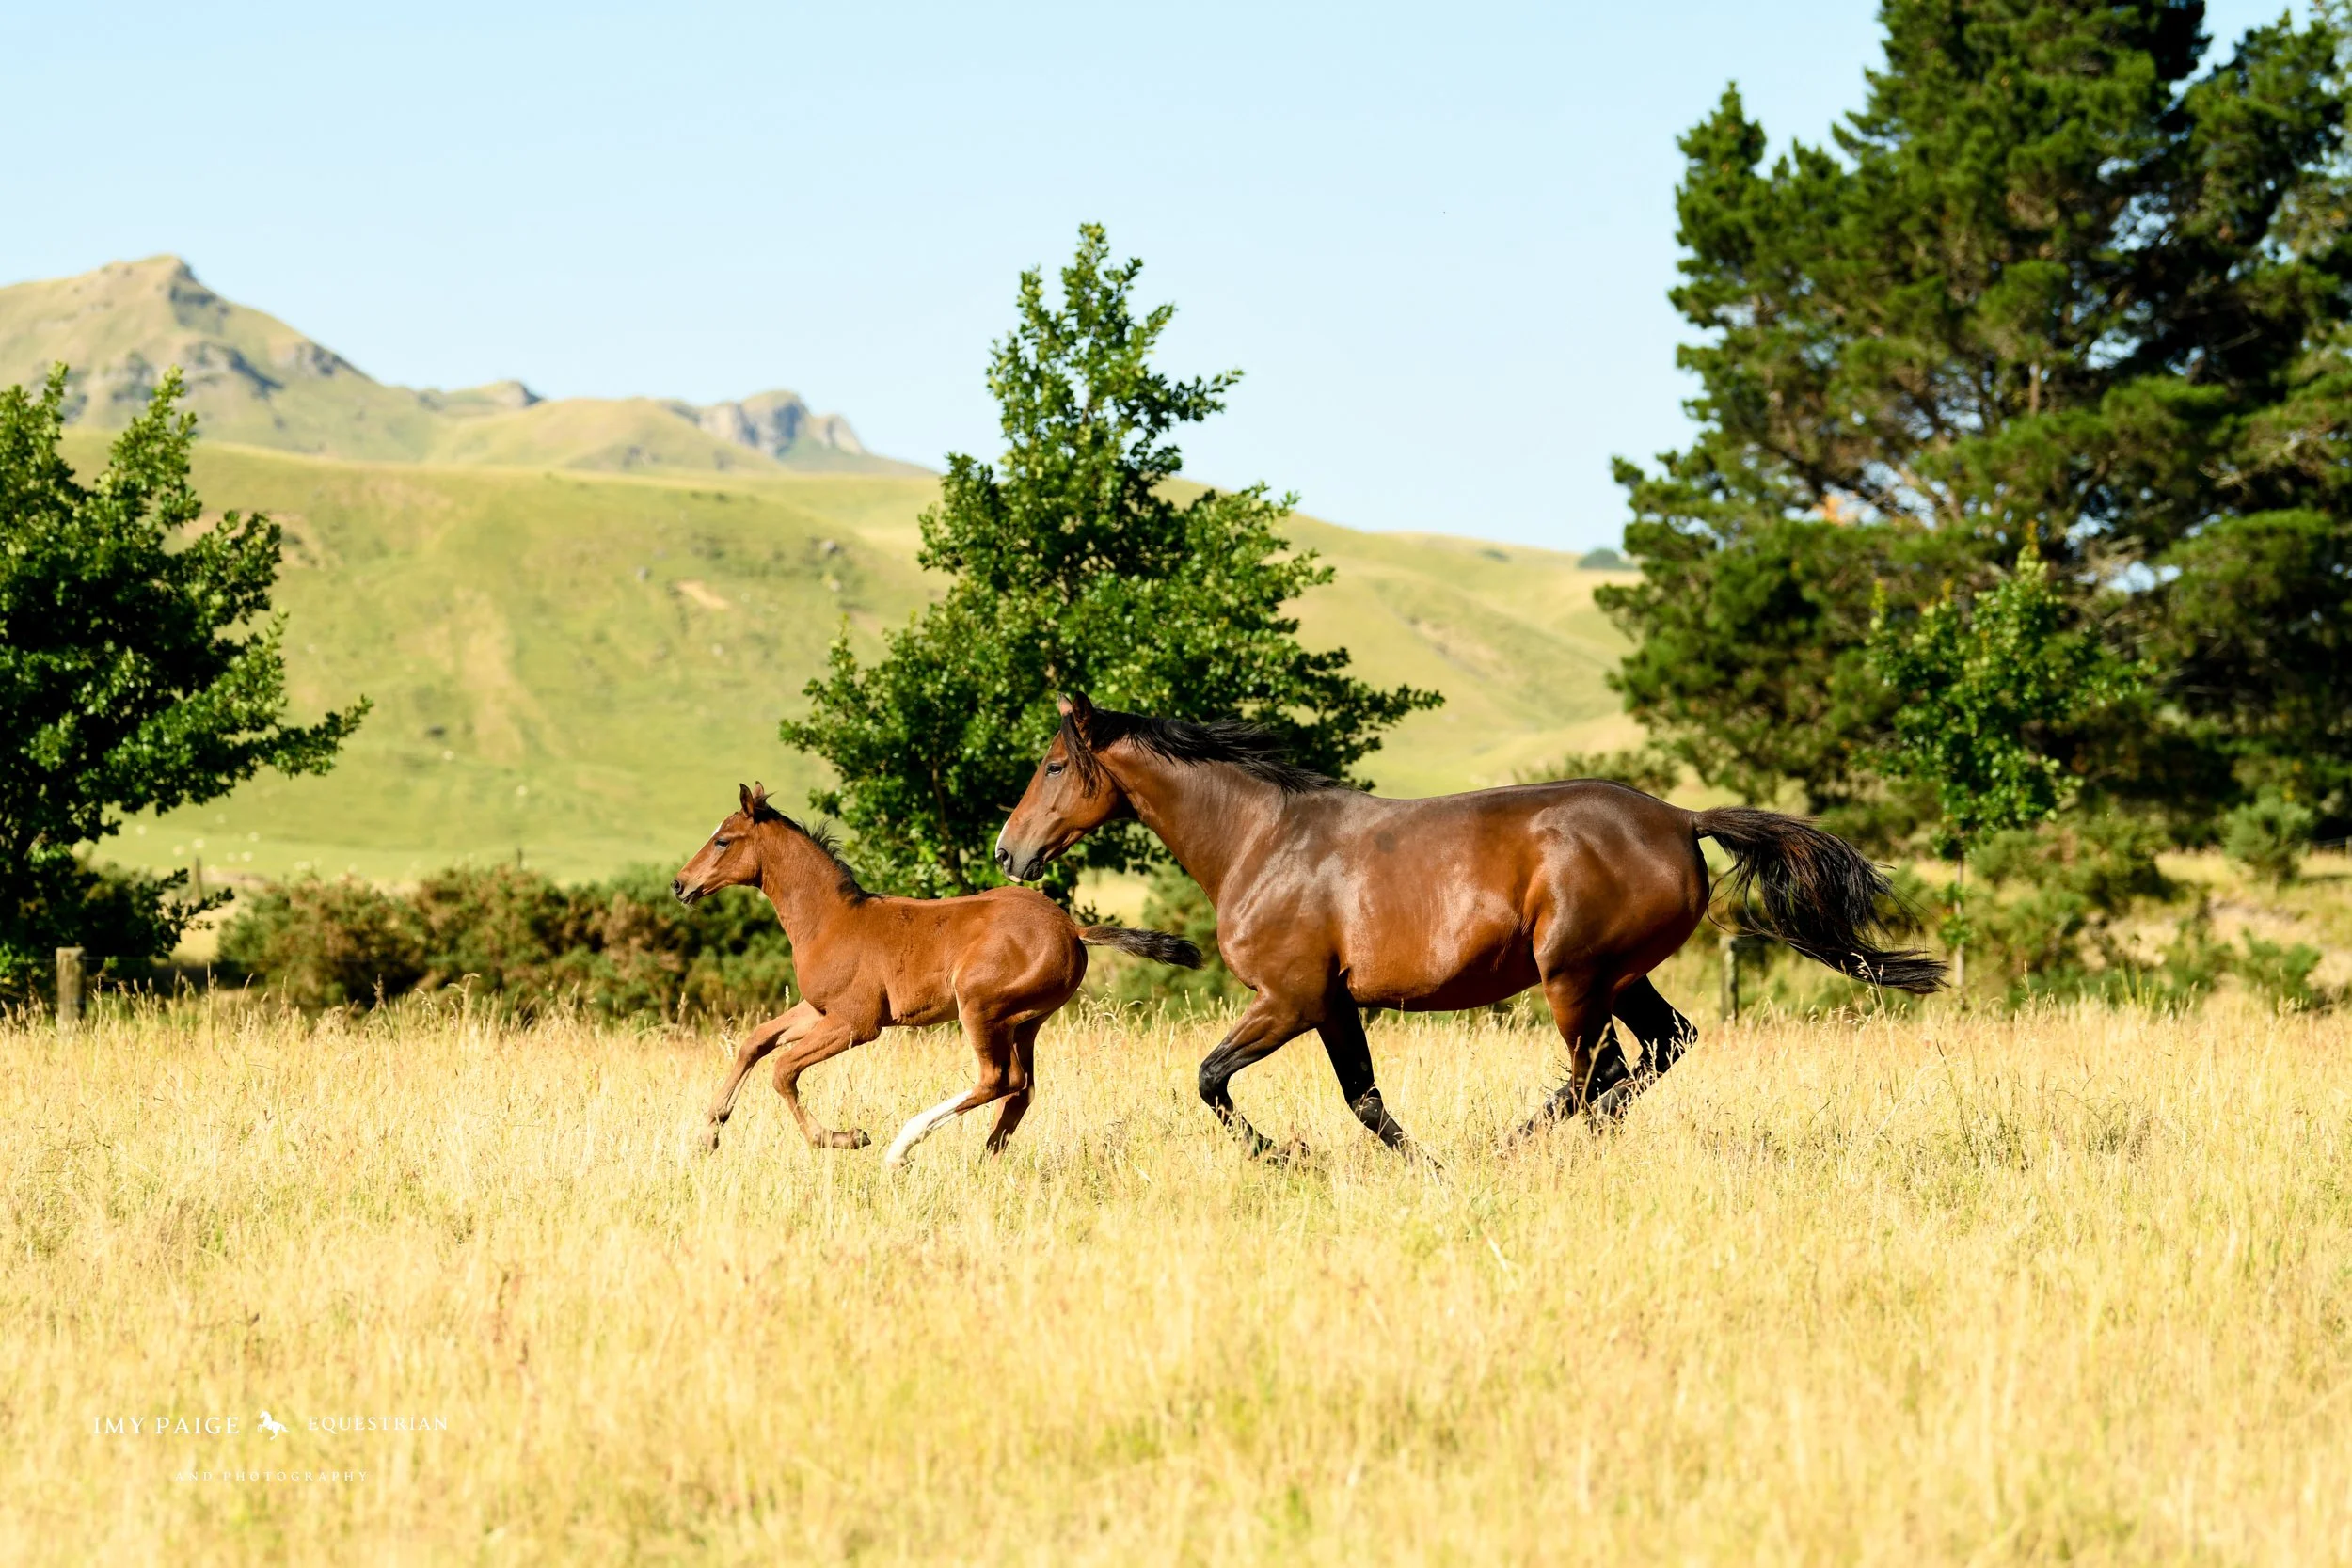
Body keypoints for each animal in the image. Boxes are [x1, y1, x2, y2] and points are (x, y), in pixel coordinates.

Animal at [675, 782, 1203, 1166]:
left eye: (722, 840)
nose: (681, 885)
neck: (831, 919)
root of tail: (1071, 927)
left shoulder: (857, 1022)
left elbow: (784, 1070)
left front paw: (846, 1137)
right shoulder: (819, 1010)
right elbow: (756, 1041)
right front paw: (709, 1131)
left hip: (981, 1007)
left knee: (998, 1079)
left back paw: (902, 1146)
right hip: (1026, 1021)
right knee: (1023, 1089)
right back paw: (987, 1159)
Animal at [993, 697, 1944, 1157]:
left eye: (1053, 765)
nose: (1009, 851)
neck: (1261, 840)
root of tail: (1681, 818)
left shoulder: (1290, 999)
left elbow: (1211, 1078)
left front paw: (1286, 1155)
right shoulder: (1334, 1005)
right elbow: (1365, 1099)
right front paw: (1420, 1167)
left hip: (1574, 978)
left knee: (1596, 1072)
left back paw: (1519, 1144)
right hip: (1622, 976)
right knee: (1660, 1047)